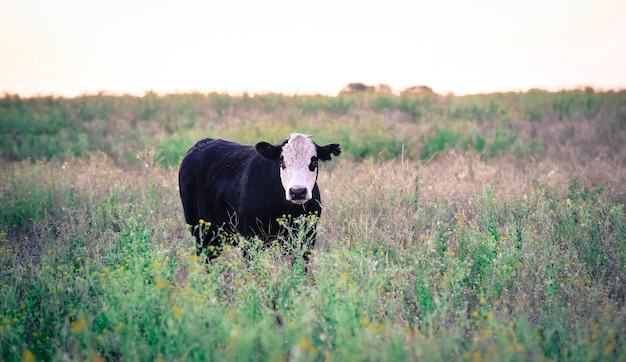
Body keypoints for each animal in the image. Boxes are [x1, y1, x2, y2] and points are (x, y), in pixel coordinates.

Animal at [178, 133, 338, 264]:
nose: (297, 192)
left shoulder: (307, 239)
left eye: (314, 162)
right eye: (282, 162)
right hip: (200, 231)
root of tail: (202, 143)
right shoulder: (250, 239)